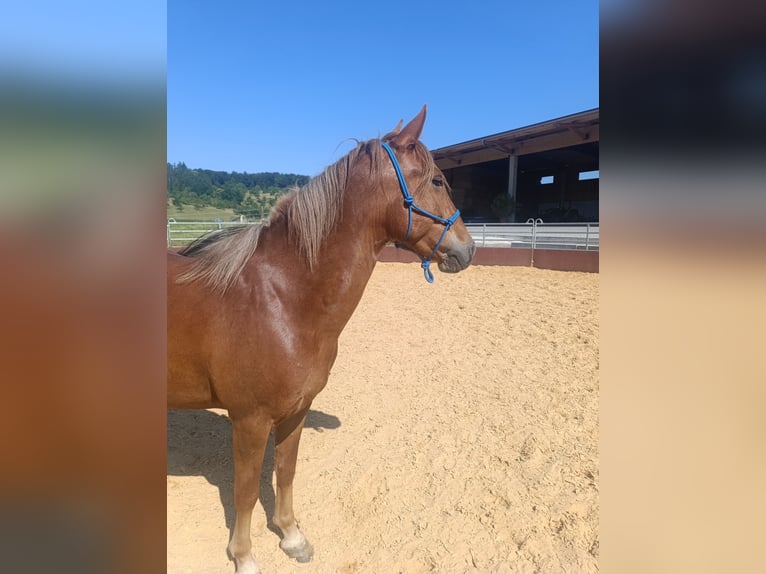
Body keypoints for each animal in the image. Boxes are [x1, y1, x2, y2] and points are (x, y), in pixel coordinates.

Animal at [167, 106, 475, 573]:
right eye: (438, 181)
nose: (468, 249)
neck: (282, 298)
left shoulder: (295, 411)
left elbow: (286, 473)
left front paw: (292, 537)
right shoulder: (249, 419)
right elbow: (246, 491)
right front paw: (244, 557)